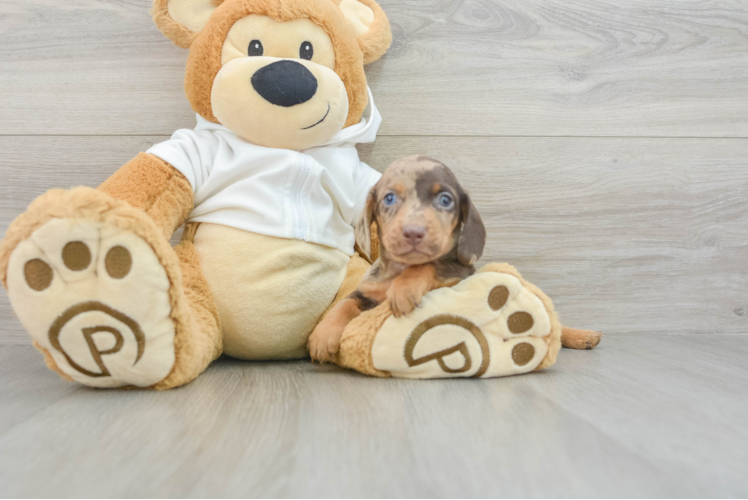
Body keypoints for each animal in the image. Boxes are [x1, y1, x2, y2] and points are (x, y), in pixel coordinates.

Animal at [308, 154, 488, 362]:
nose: (413, 232)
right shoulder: (367, 292)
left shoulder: (460, 274)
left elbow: (427, 265)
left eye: (445, 200)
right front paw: (323, 333)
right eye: (389, 198)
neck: (399, 268)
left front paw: (404, 288)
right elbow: (344, 303)